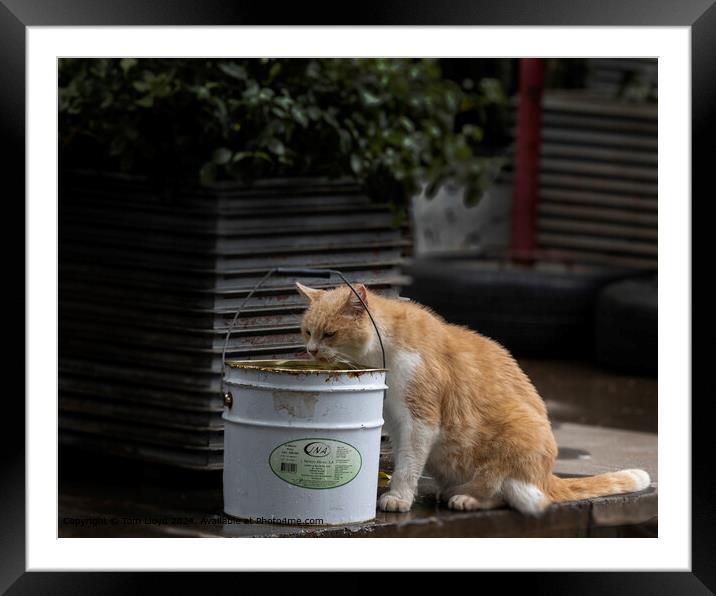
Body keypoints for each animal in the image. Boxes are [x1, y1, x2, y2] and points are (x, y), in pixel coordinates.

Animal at [294, 282, 652, 516]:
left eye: (329, 334)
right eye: (307, 332)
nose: (311, 351)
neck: (386, 348)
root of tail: (549, 477)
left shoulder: (420, 419)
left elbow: (408, 464)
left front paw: (398, 497)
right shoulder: (395, 421)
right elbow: (404, 458)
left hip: (518, 437)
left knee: (518, 497)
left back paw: (466, 498)